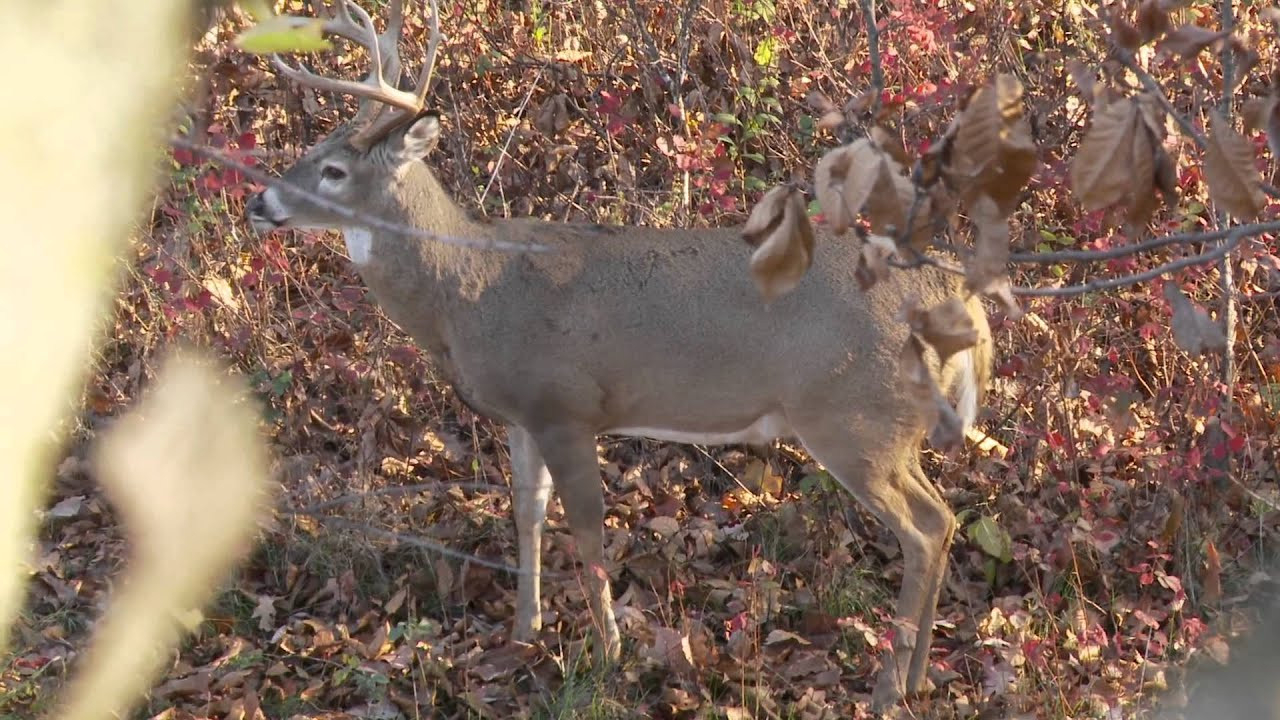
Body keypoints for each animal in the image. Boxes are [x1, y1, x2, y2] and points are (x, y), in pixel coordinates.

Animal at [244, 0, 993, 707]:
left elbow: (588, 531)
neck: (467, 292)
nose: (258, 201)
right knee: (946, 518)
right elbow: (527, 512)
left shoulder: (565, 405)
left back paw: (889, 688)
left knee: (924, 528)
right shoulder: (521, 414)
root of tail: (952, 291)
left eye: (333, 170)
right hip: (891, 426)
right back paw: (917, 676)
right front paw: (525, 630)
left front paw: (606, 655)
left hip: (852, 415)